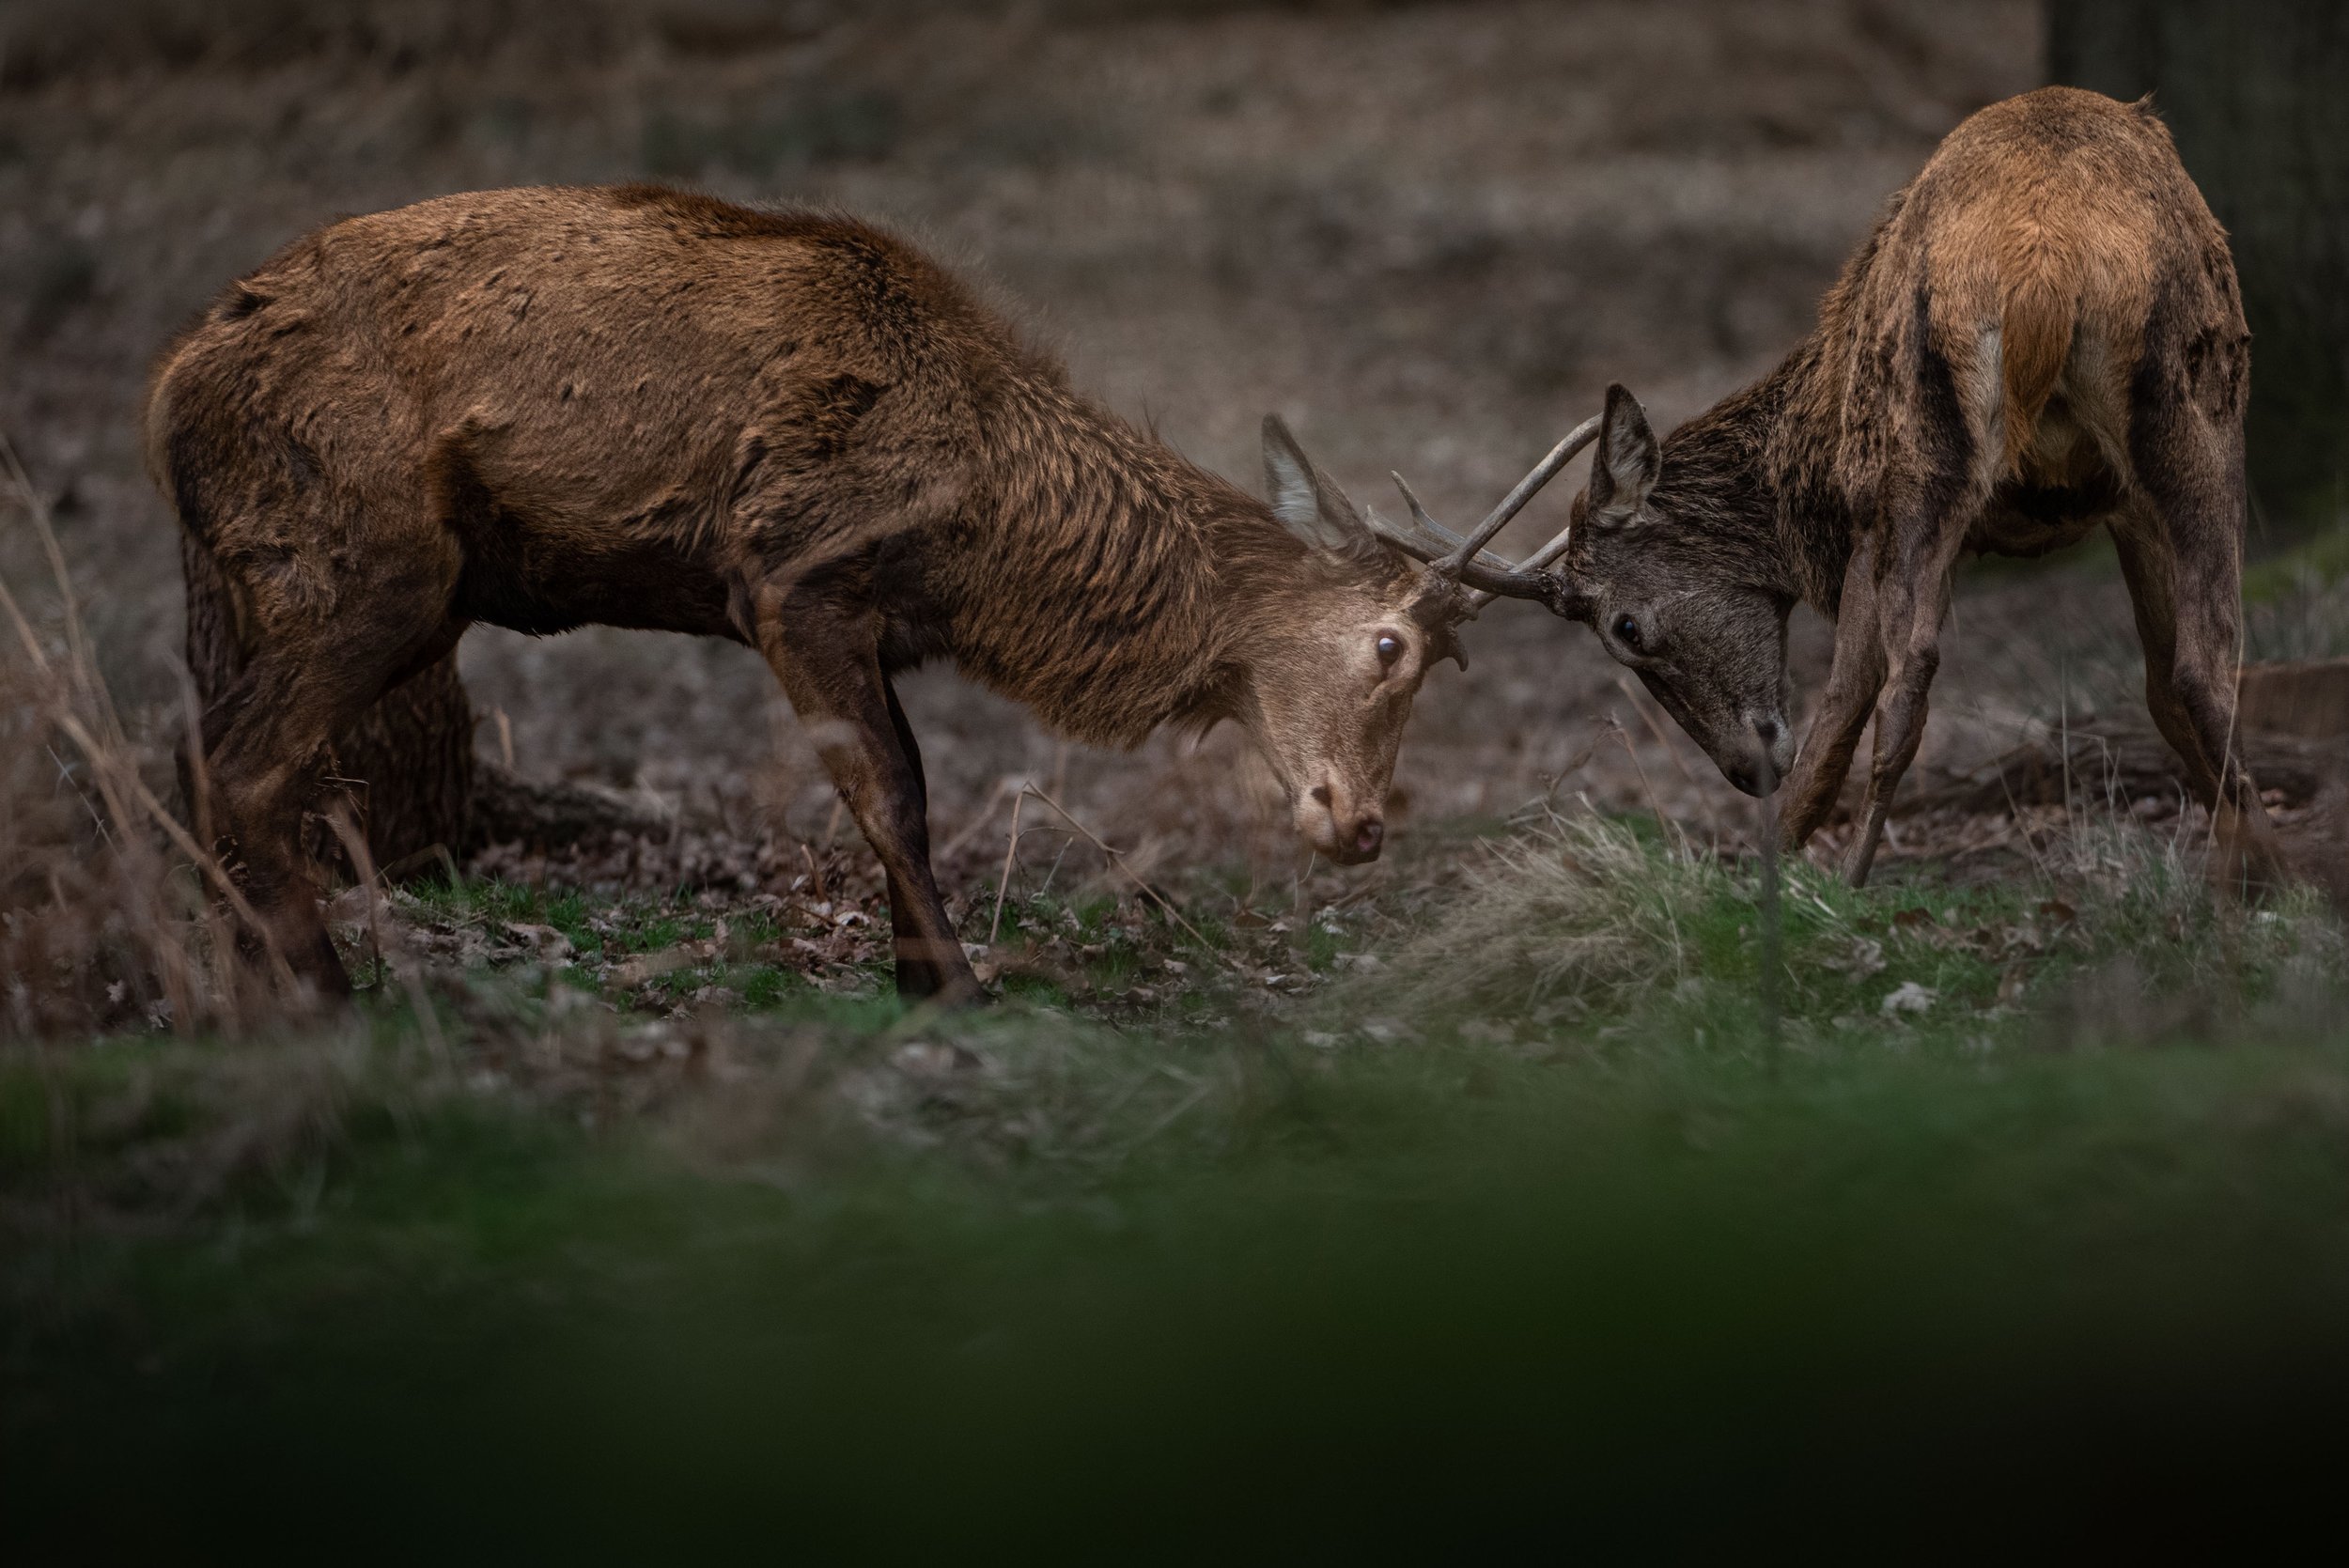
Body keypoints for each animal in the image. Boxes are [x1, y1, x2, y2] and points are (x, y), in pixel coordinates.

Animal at [148, 183, 1567, 1003]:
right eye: (1389, 646)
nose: (1362, 825)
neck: (984, 537)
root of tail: (166, 392)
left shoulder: (877, 623)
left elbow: (911, 788)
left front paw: (915, 973)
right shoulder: (787, 569)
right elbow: (892, 792)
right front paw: (957, 990)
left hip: (346, 584)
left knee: (193, 748)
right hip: (367, 555)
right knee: (238, 758)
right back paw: (325, 992)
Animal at [1384, 87, 2290, 889]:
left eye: (1625, 628)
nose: (1745, 771)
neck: (1802, 472)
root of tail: (2050, 267)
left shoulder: (1862, 523)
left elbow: (1841, 710)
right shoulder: (2119, 509)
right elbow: (2160, 689)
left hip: (1923, 452)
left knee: (1907, 675)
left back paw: (1846, 880)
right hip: (2198, 418)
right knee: (2206, 662)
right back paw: (2265, 877)